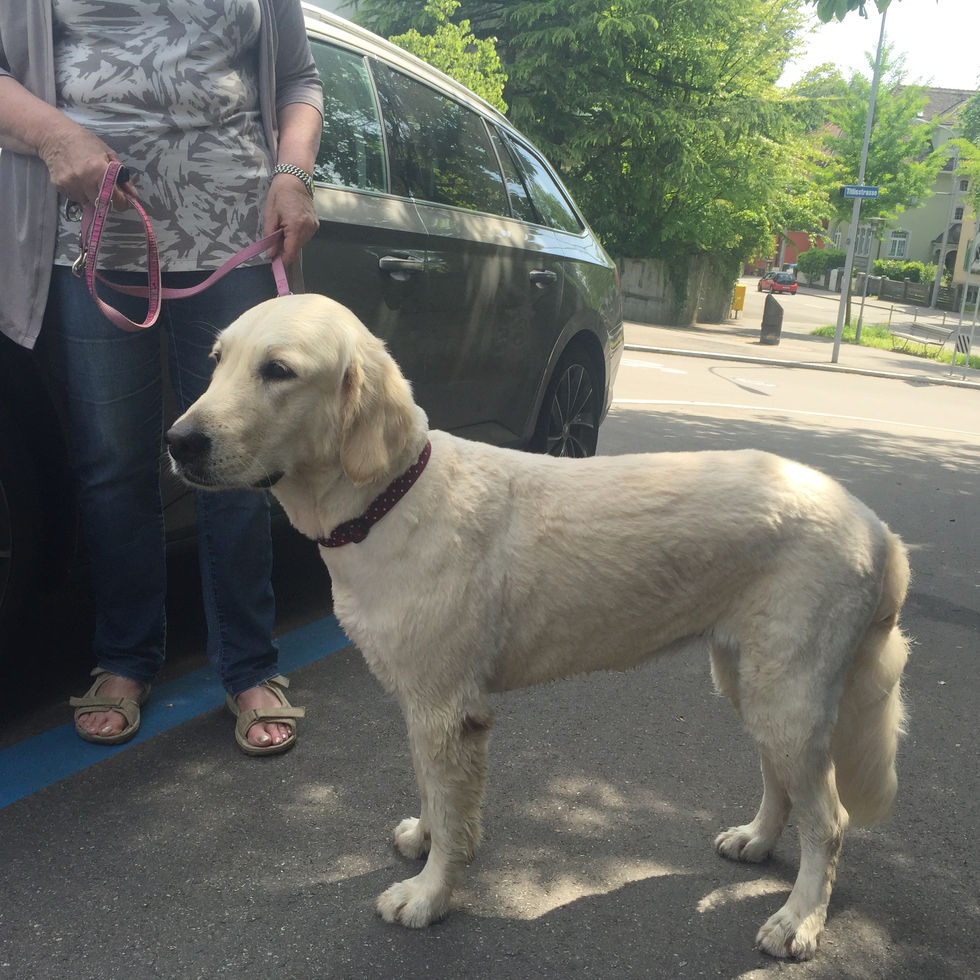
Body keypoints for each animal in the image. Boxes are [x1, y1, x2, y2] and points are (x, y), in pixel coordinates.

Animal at [167, 294, 912, 960]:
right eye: (217, 361)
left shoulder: (450, 709)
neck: (389, 501)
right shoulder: (423, 704)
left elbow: (456, 820)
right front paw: (424, 839)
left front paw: (429, 896)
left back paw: (800, 921)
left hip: (789, 694)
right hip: (750, 682)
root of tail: (874, 523)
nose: (177, 443)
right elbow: (434, 795)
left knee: (831, 822)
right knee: (782, 783)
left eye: (279, 371)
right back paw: (756, 840)